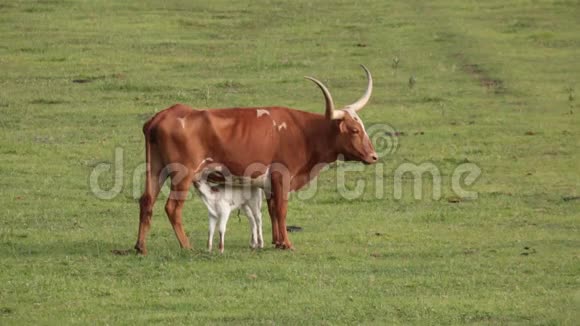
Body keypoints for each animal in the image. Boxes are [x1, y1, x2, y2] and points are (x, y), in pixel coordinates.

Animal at [134, 65, 378, 255]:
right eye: (354, 130)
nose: (373, 156)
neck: (304, 132)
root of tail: (162, 115)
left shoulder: (269, 183)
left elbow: (271, 210)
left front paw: (277, 241)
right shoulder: (282, 176)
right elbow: (281, 209)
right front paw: (287, 244)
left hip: (156, 169)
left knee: (147, 201)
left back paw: (140, 247)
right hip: (182, 174)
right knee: (173, 207)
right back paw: (186, 246)